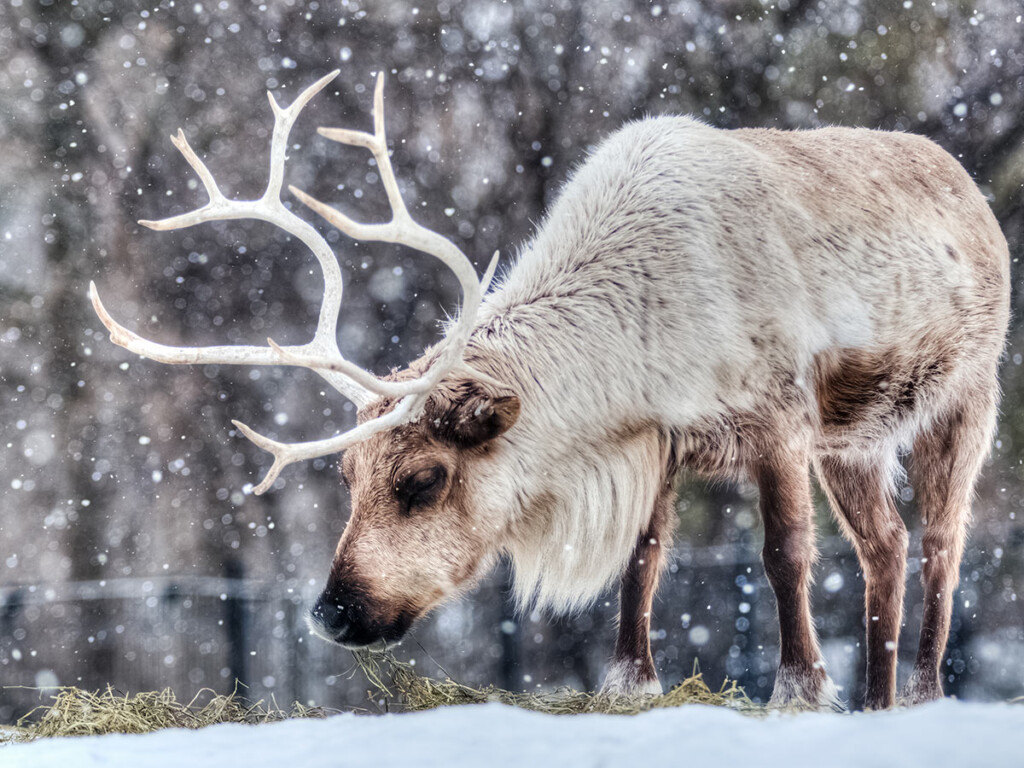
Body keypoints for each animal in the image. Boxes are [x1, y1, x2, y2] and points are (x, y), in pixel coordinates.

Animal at [91, 70, 1009, 711]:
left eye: (423, 479)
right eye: (346, 475)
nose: (334, 613)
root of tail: (971, 190)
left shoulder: (779, 415)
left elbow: (783, 554)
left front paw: (800, 687)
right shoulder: (661, 439)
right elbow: (644, 557)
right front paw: (631, 682)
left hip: (967, 397)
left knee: (942, 542)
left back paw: (923, 691)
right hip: (853, 441)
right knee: (885, 543)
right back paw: (879, 702)